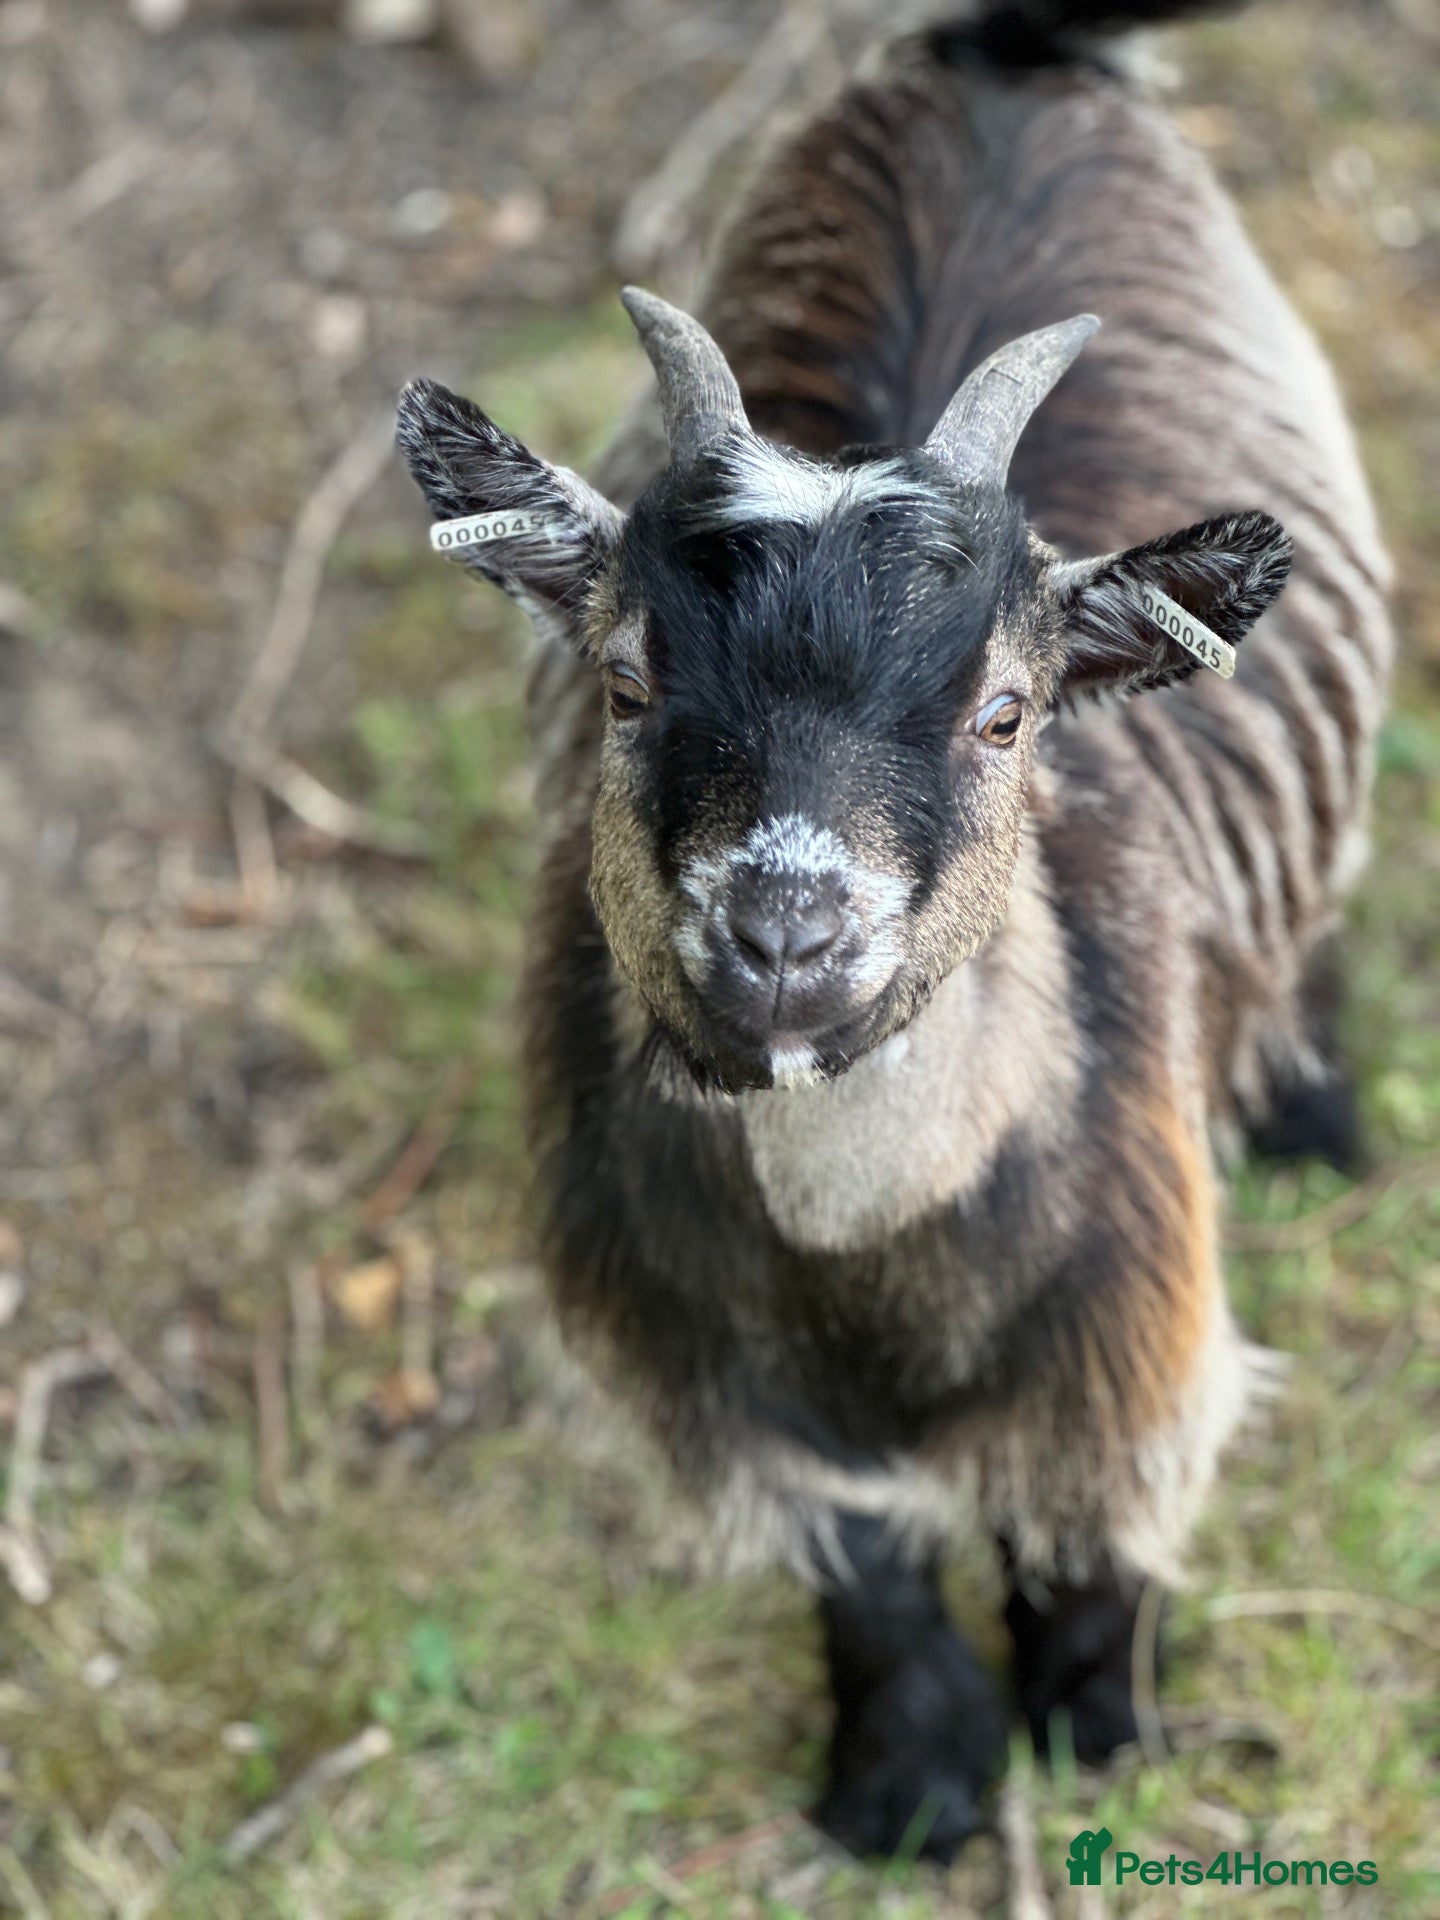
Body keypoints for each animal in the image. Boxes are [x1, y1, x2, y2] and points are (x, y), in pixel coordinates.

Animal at [397, 0, 1391, 1861]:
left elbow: (1083, 1552)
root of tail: (1004, 53)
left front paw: (1099, 1742)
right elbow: (864, 1570)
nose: (785, 931)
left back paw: (1313, 1109)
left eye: (1006, 713)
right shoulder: (714, 1377)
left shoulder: (1126, 1350)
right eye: (625, 680)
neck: (872, 1283)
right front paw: (907, 1787)